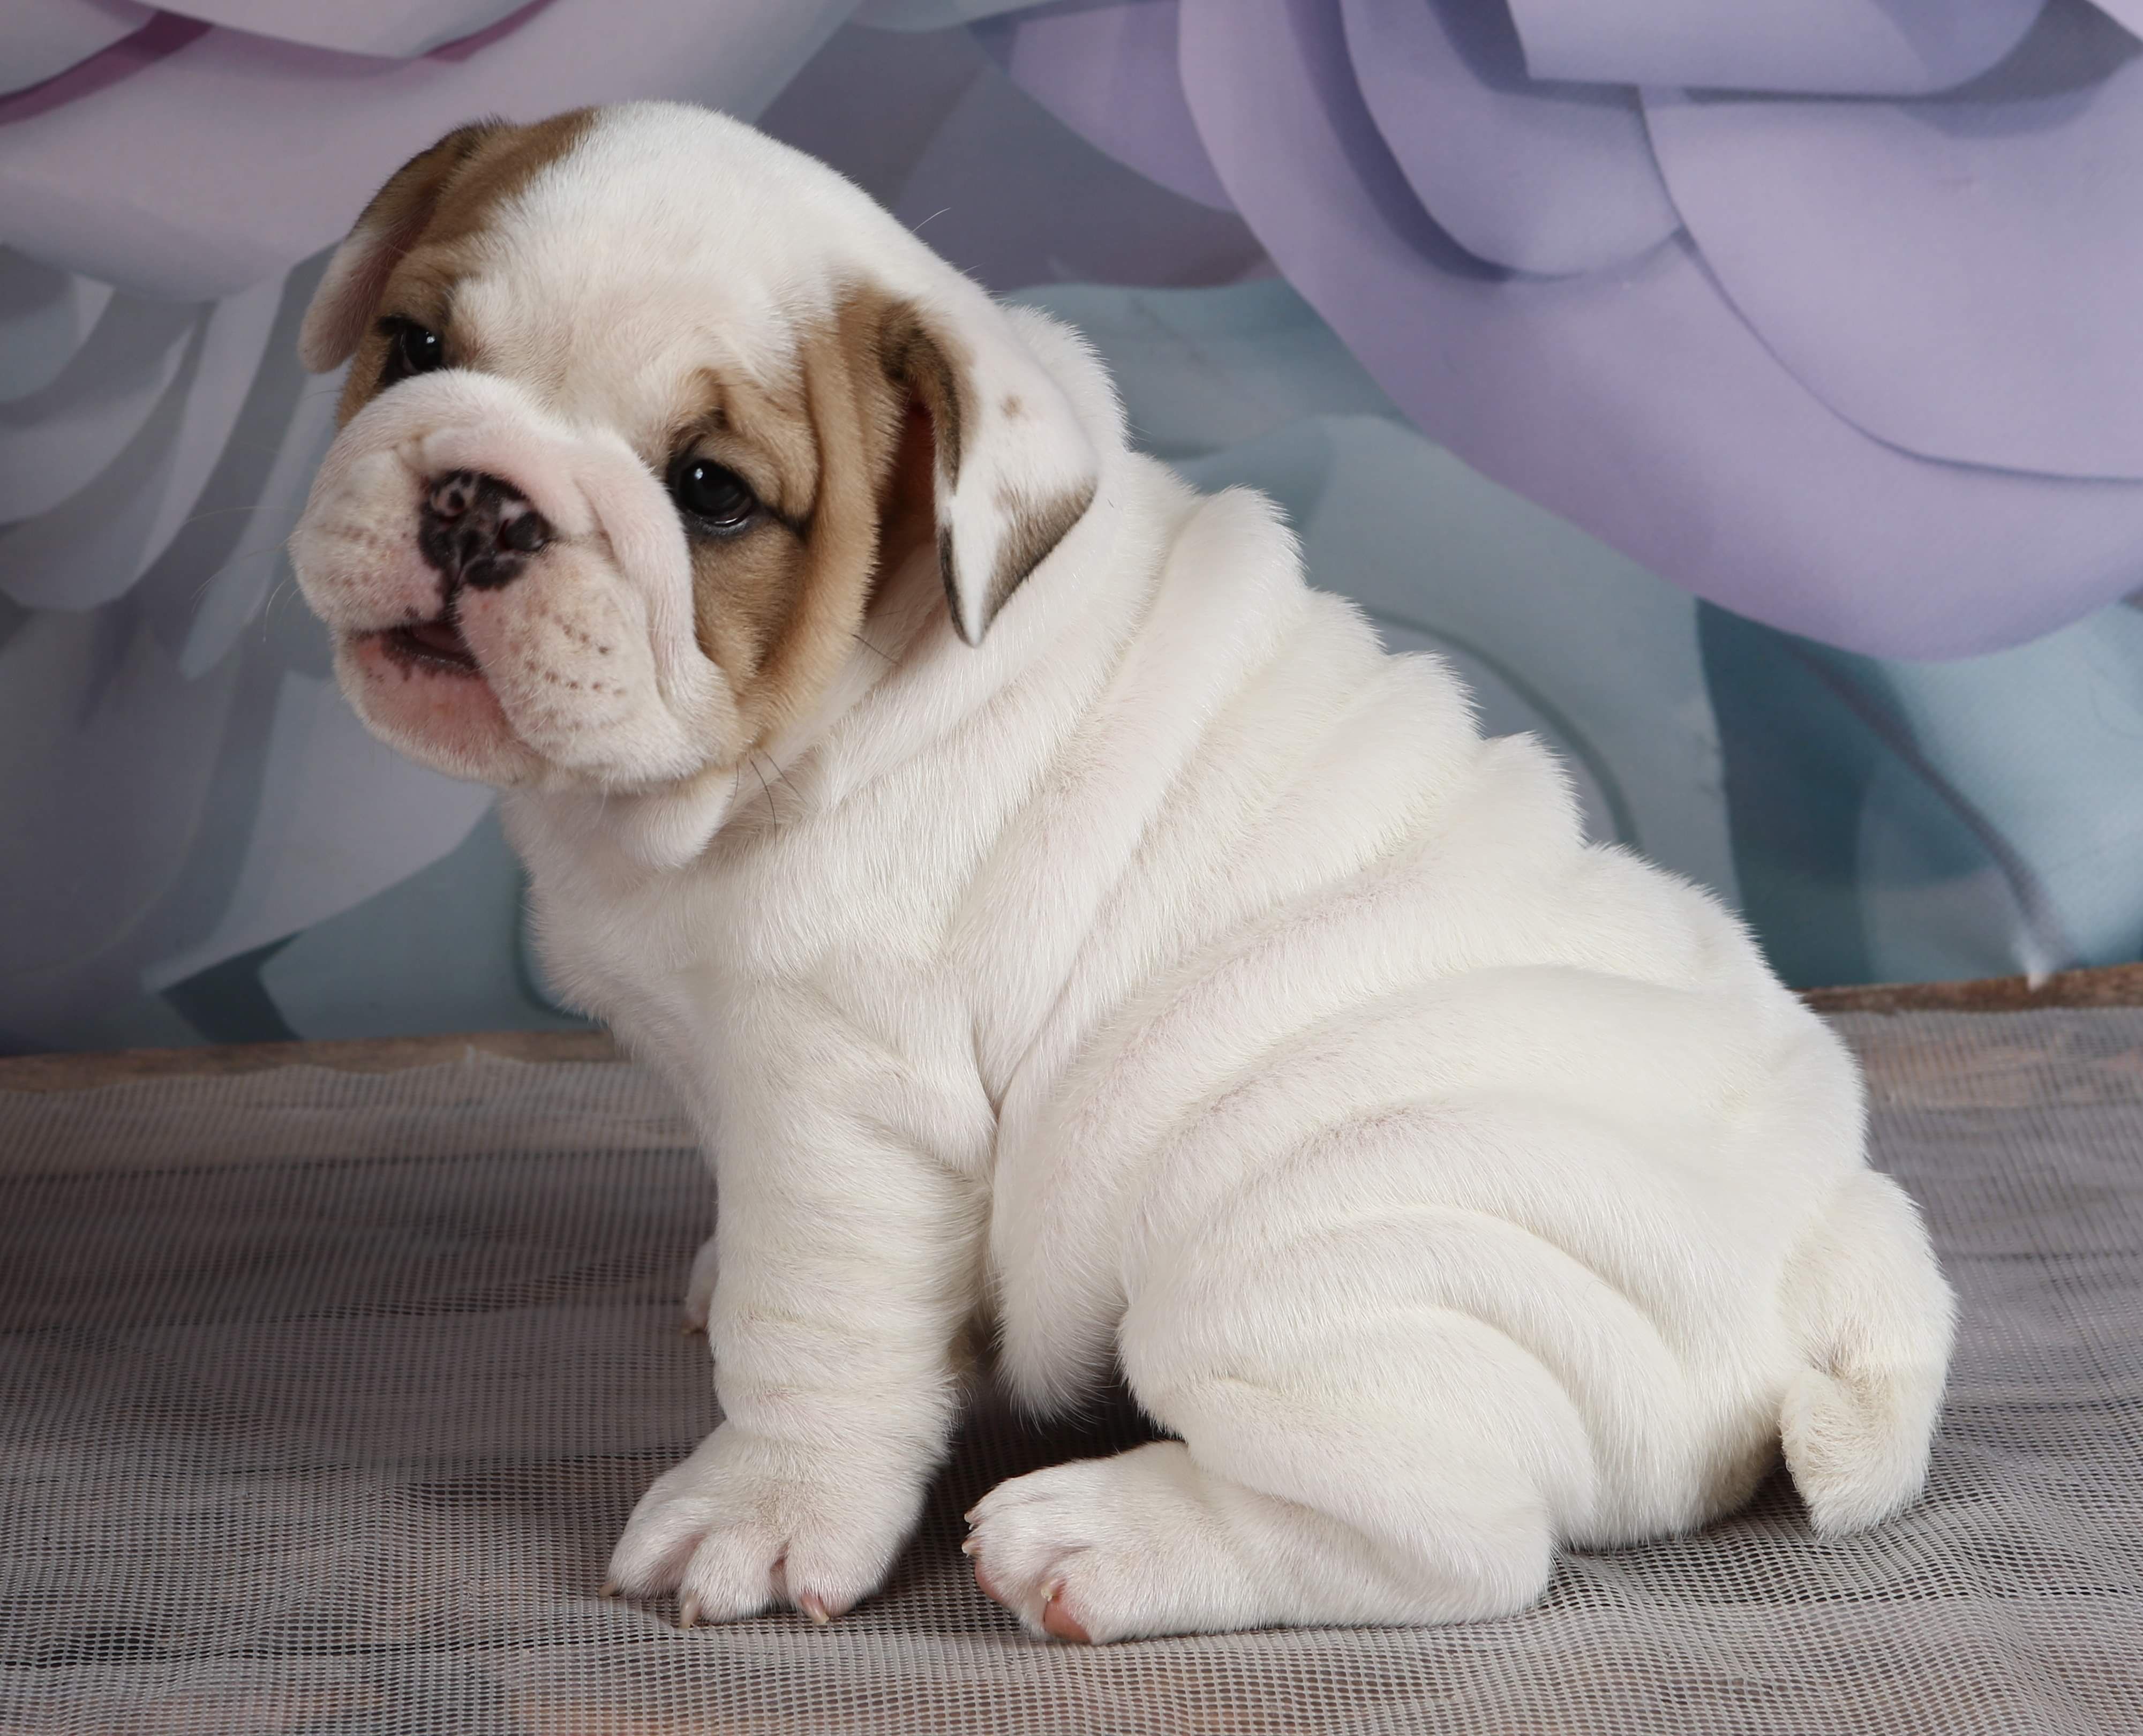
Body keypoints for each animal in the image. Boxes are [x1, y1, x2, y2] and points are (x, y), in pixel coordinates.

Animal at [288, 101, 1955, 1644]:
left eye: (710, 492)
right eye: (413, 345)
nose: (484, 499)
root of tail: (1838, 1251)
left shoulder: (840, 1102)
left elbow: (809, 1326)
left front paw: (760, 1506)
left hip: (1305, 1259)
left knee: (1446, 1532)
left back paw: (1097, 1539)